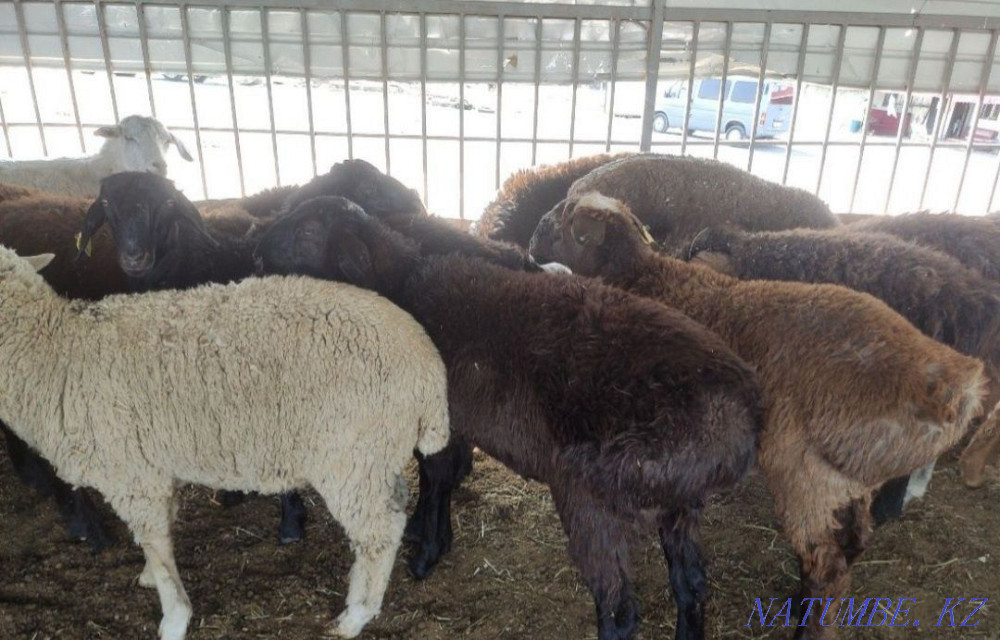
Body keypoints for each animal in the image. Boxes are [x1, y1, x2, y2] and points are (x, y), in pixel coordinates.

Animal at [0, 245, 450, 640]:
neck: (55, 353)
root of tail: (428, 365)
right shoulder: (157, 467)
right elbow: (162, 531)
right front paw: (149, 577)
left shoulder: (133, 474)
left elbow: (156, 543)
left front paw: (174, 617)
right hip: (378, 455)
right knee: (394, 509)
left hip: (351, 457)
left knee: (379, 532)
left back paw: (355, 615)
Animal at [254, 195, 765, 640]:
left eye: (306, 231)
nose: (256, 250)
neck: (401, 288)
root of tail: (744, 416)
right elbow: (439, 477)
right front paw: (427, 534)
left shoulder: (441, 417)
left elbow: (434, 477)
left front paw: (426, 552)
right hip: (680, 504)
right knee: (691, 584)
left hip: (595, 493)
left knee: (619, 609)